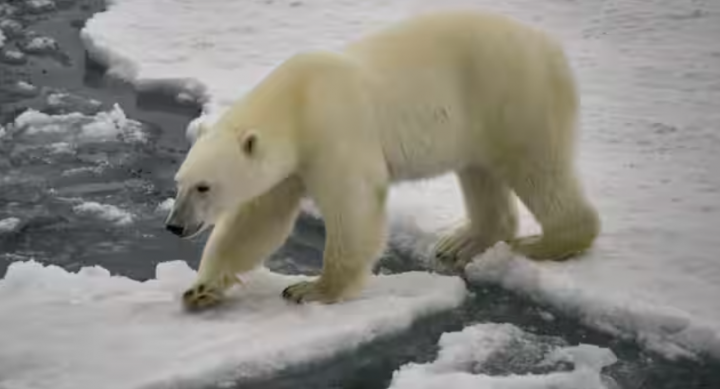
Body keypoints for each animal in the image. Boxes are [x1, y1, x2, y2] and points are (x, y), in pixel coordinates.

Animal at [166, 10, 600, 310]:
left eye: (204, 187)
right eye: (179, 183)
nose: (174, 226)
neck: (296, 101)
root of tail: (552, 49)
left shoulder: (334, 131)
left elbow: (354, 204)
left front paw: (311, 289)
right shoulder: (290, 165)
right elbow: (257, 221)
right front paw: (200, 288)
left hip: (513, 95)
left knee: (537, 167)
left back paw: (541, 243)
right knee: (481, 173)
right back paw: (460, 242)